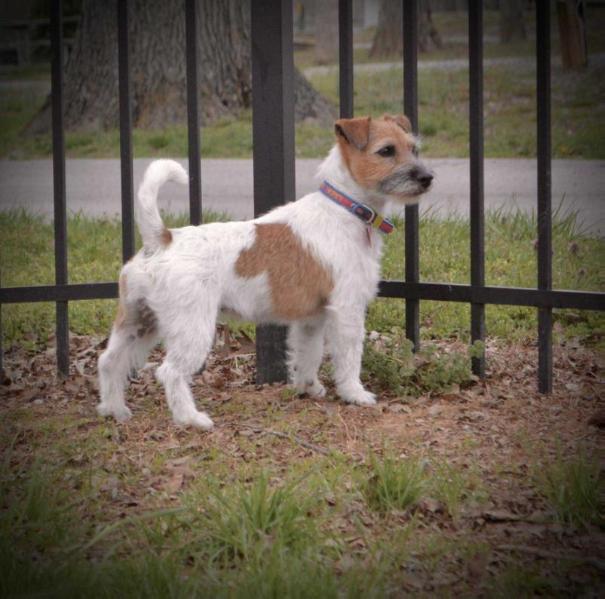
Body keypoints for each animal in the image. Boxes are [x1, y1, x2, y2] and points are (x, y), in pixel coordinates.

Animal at [96, 115, 432, 428]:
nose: (427, 178)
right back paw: (191, 418)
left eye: (413, 148)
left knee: (109, 361)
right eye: (386, 151)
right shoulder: (347, 310)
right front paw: (354, 393)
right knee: (169, 372)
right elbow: (349, 357)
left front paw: (308, 388)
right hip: (191, 328)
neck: (345, 208)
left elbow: (308, 355)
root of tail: (162, 239)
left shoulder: (311, 320)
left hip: (138, 322)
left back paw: (114, 409)